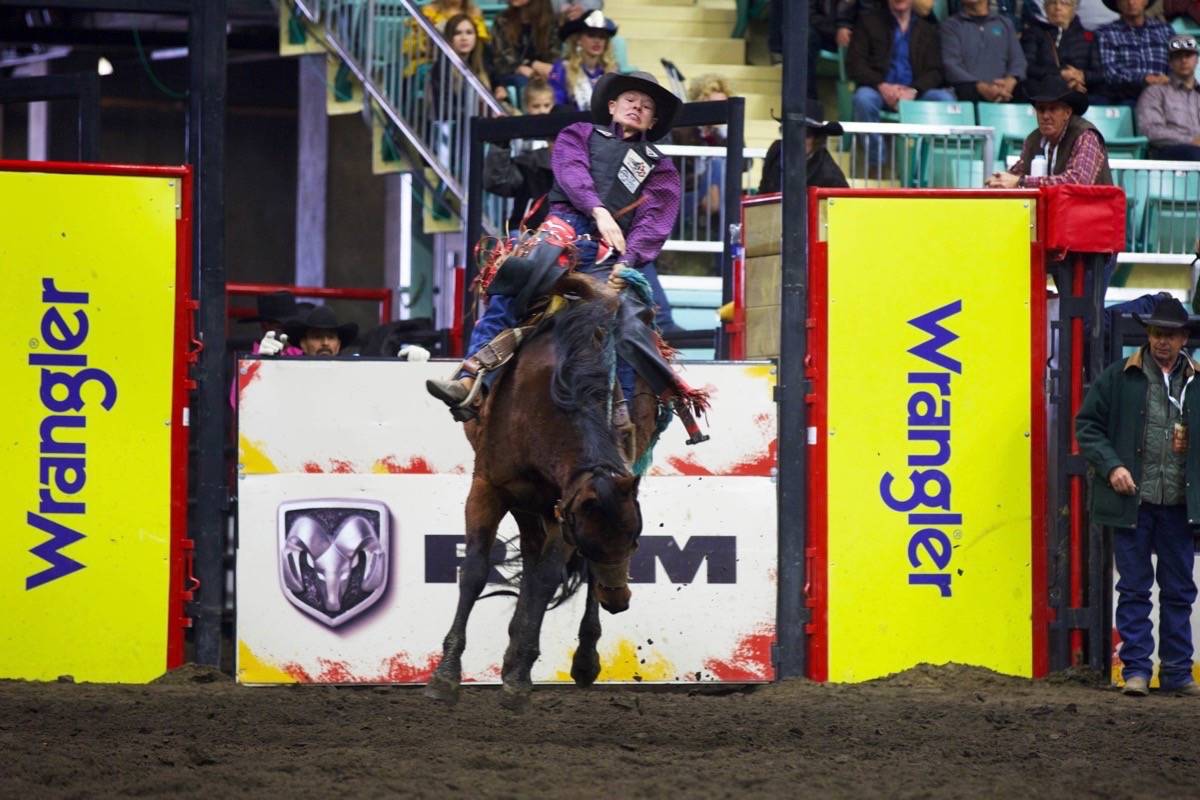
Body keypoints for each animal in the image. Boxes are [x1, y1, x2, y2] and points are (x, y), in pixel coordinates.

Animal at [427, 272, 662, 710]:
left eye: (636, 542)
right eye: (591, 544)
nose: (620, 602)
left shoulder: (562, 507)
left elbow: (547, 578)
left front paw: (520, 677)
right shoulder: (488, 488)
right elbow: (475, 571)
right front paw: (445, 675)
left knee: (547, 572)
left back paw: (578, 660)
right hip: (524, 502)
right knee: (532, 555)